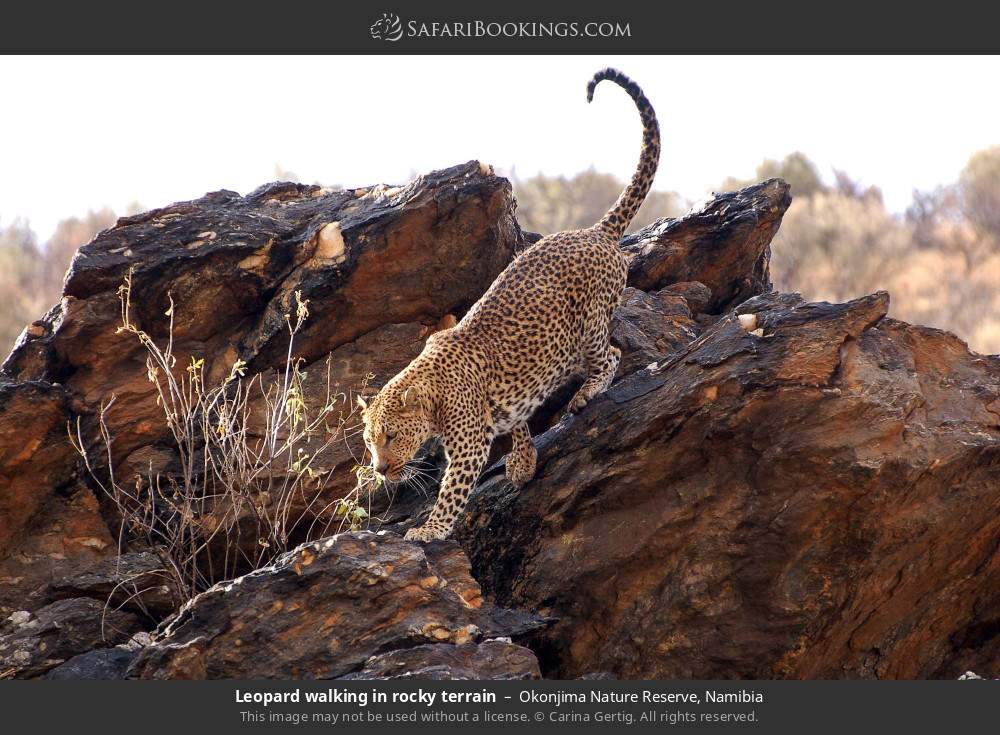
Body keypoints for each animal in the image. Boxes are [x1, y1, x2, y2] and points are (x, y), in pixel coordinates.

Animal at [356, 67, 660, 540]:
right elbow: (516, 419)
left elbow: (451, 493)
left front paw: (429, 531)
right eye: (370, 441)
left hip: (590, 325)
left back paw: (587, 393)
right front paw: (522, 462)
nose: (381, 469)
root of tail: (594, 232)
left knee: (611, 354)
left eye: (391, 436)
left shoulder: (469, 446)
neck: (432, 391)